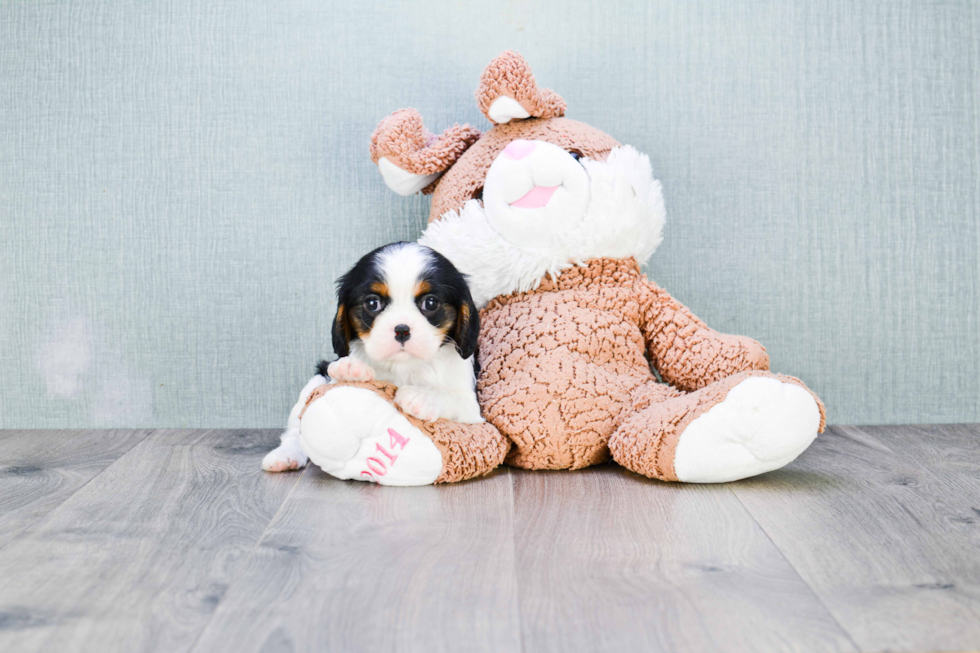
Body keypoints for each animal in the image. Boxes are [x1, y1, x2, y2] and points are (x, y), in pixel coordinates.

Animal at [262, 242, 480, 472]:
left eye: (430, 303)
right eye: (373, 303)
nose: (402, 330)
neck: (404, 366)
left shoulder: (473, 409)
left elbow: (453, 397)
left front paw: (422, 396)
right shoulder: (326, 377)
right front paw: (350, 369)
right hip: (315, 380)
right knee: (296, 430)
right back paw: (285, 455)